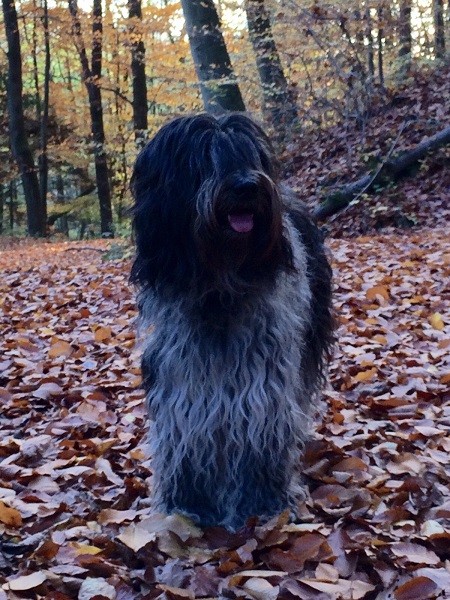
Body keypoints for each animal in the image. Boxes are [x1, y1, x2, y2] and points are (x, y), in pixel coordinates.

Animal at [128, 112, 332, 528]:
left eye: (249, 155)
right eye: (205, 158)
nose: (247, 185)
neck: (219, 288)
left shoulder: (264, 368)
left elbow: (261, 422)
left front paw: (262, 503)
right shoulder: (179, 368)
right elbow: (185, 427)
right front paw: (188, 503)